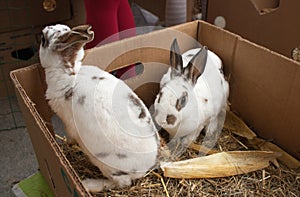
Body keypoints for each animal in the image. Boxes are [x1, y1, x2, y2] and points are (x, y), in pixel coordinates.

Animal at [39, 24, 161, 192]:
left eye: (43, 39)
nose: (42, 31)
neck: (70, 74)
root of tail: (145, 168)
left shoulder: (67, 123)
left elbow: (69, 135)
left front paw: (69, 143)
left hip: (106, 165)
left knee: (122, 183)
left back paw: (89, 184)